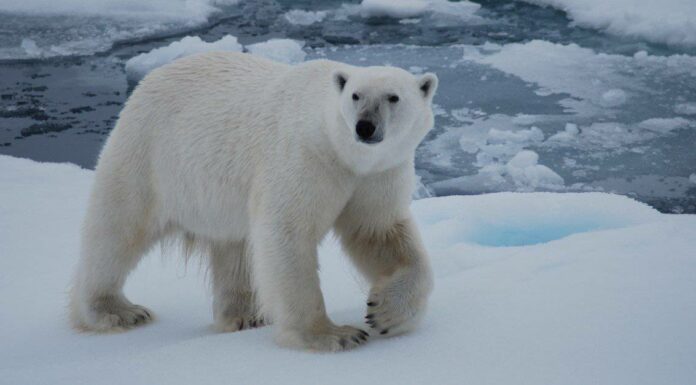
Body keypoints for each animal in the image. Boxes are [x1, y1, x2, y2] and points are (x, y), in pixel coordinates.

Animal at [69, 51, 436, 352]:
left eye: (393, 97)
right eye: (355, 95)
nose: (365, 126)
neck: (342, 151)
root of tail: (151, 78)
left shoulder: (378, 174)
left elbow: (379, 232)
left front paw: (386, 313)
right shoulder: (305, 157)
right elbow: (287, 233)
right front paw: (334, 335)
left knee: (234, 249)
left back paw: (244, 316)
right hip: (149, 154)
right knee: (118, 229)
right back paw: (116, 311)